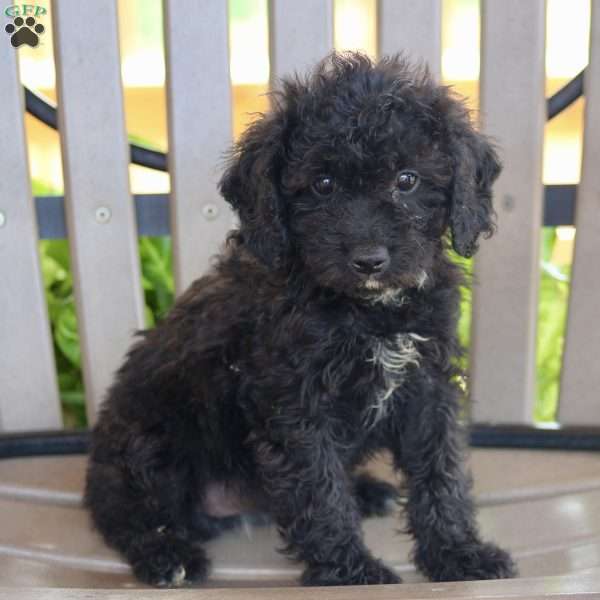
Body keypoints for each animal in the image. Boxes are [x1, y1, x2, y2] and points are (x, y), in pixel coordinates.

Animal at [84, 51, 516, 584]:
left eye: (407, 180)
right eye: (323, 185)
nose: (369, 260)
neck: (367, 311)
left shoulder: (428, 385)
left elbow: (441, 474)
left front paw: (459, 554)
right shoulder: (295, 404)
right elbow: (320, 492)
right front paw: (351, 573)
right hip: (154, 439)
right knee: (126, 513)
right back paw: (166, 555)